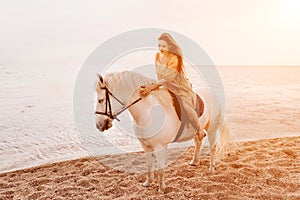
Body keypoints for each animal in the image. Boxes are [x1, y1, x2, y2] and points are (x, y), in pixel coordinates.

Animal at [95, 70, 231, 194]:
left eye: (100, 100)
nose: (99, 125)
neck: (148, 112)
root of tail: (213, 95)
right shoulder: (146, 146)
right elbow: (149, 166)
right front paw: (148, 183)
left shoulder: (160, 147)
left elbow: (160, 169)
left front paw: (161, 189)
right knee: (198, 141)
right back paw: (194, 162)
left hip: (212, 129)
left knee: (213, 147)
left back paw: (212, 168)